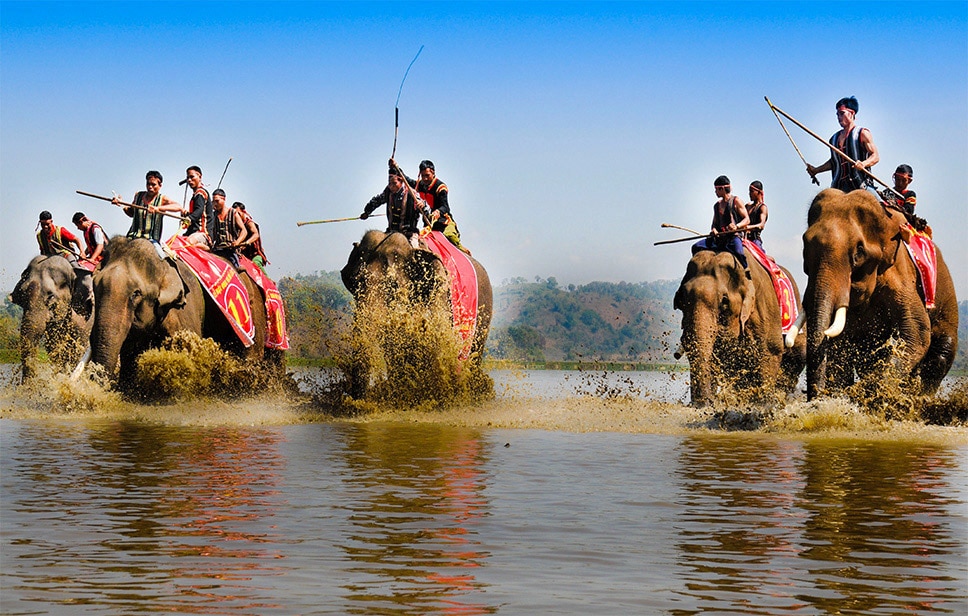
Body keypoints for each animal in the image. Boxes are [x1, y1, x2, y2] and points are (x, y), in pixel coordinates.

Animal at [672, 245, 808, 410]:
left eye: (724, 301)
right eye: (681, 301)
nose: (703, 404)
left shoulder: (763, 308)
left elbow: (770, 350)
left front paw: (764, 403)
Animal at [800, 188, 960, 400]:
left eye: (858, 253)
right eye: (804, 247)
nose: (815, 400)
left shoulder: (900, 271)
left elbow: (916, 330)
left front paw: (868, 393)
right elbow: (840, 347)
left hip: (945, 296)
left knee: (940, 355)